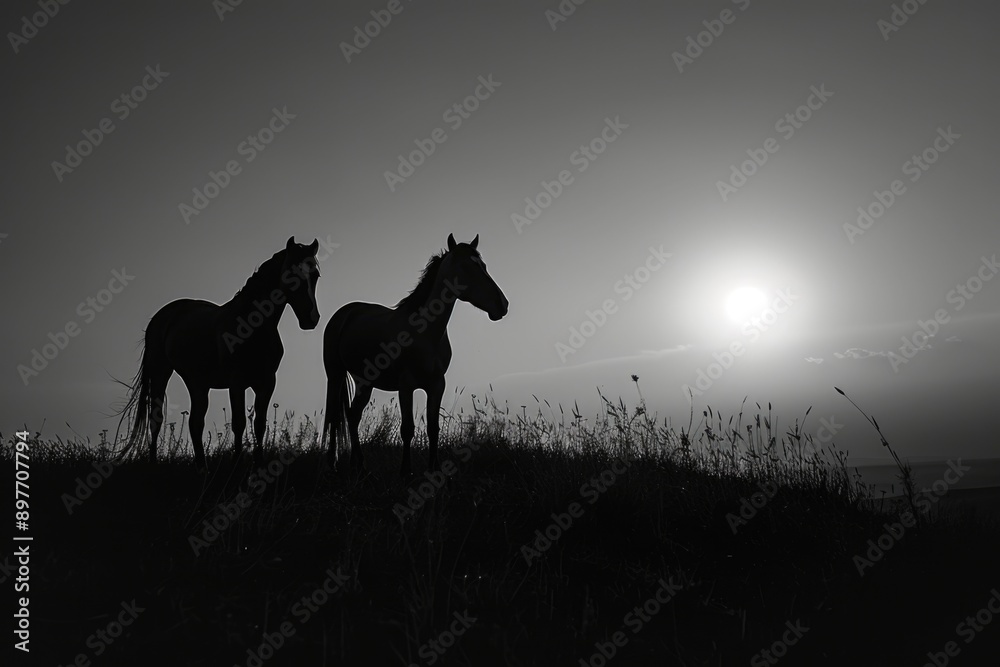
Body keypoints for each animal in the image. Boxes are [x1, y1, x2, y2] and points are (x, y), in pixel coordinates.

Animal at [117, 237, 321, 469]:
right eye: (291, 274)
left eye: (315, 275)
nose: (311, 318)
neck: (252, 326)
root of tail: (162, 316)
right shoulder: (237, 382)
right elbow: (239, 423)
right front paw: (237, 464)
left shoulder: (267, 382)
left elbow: (259, 424)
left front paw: (259, 464)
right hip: (161, 372)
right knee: (156, 419)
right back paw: (154, 465)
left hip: (198, 382)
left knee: (195, 422)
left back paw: (202, 467)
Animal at [322, 234, 508, 476]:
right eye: (466, 267)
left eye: (483, 266)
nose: (502, 304)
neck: (425, 333)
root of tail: (344, 313)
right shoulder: (406, 384)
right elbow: (407, 428)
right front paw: (405, 471)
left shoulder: (437, 385)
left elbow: (433, 428)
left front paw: (433, 469)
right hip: (335, 375)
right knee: (335, 418)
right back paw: (333, 464)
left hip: (365, 382)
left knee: (353, 416)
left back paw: (359, 465)